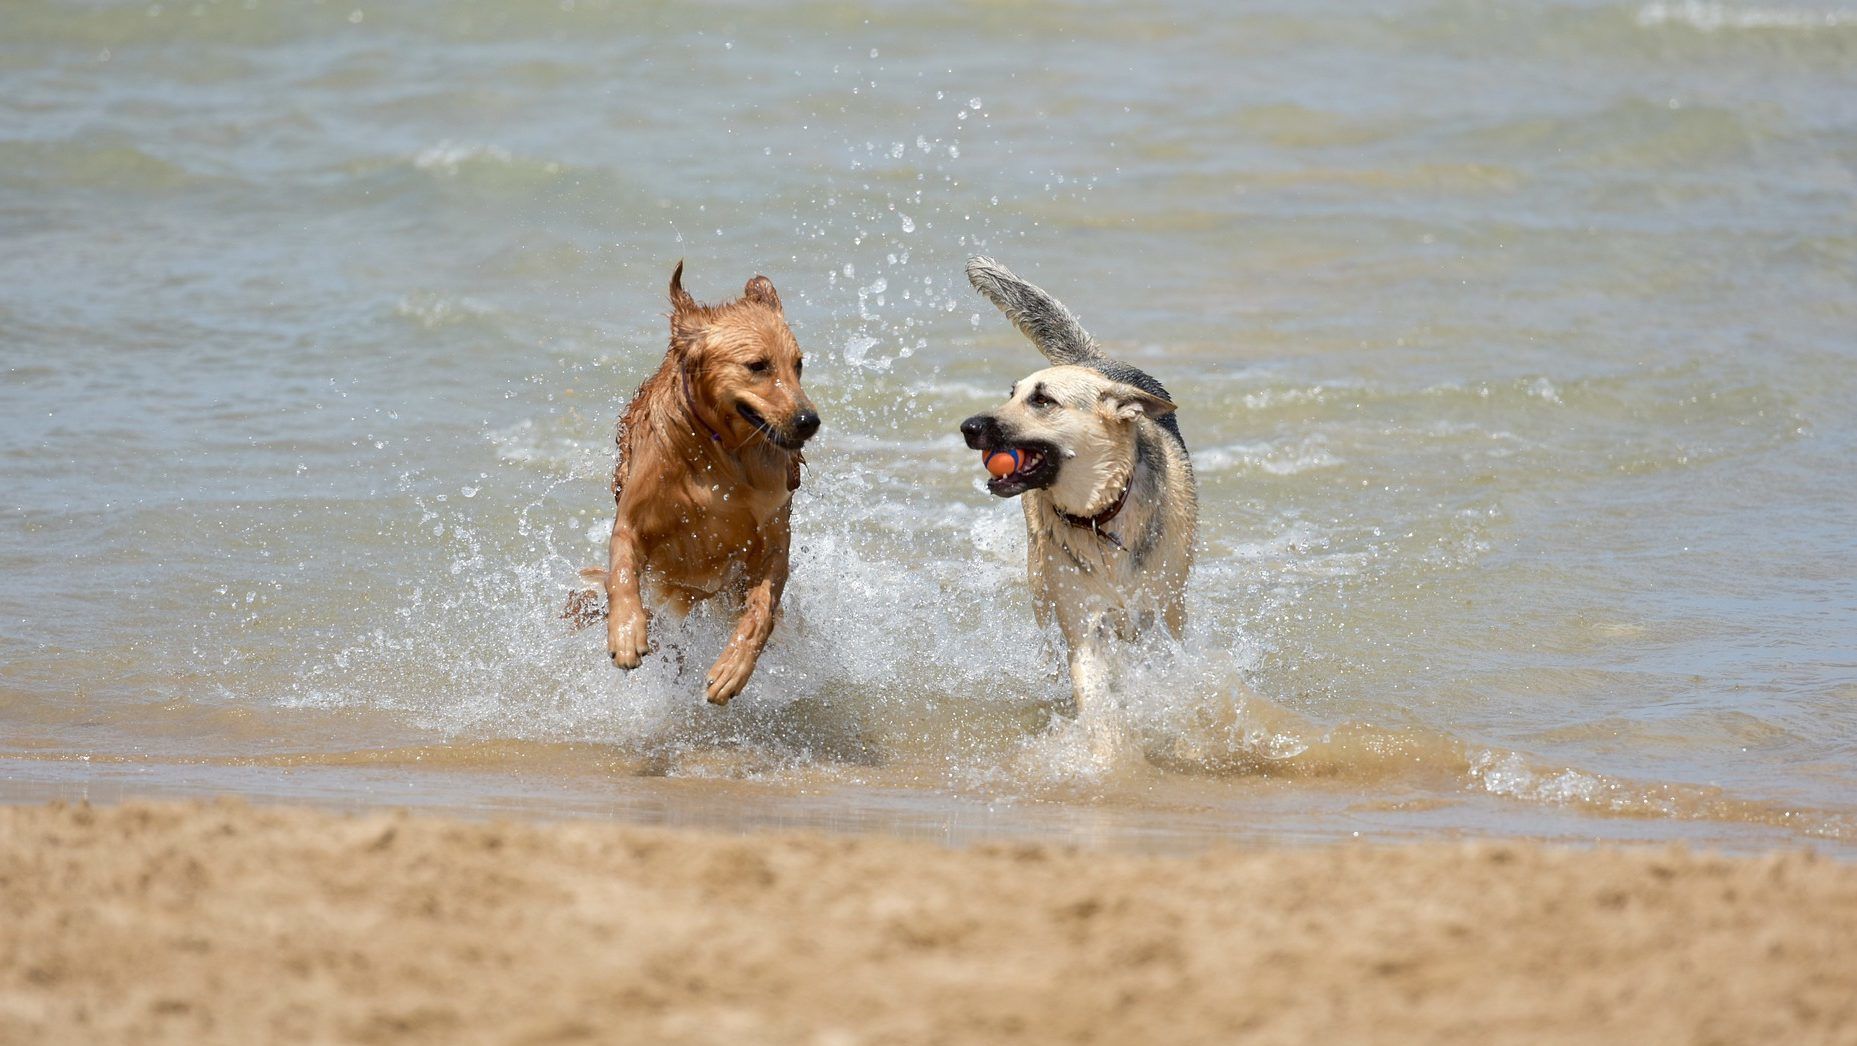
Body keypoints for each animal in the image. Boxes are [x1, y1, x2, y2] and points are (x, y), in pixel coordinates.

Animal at [571, 260, 820, 702]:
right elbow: (621, 571)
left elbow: (761, 608)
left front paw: (734, 666)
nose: (810, 420)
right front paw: (626, 632)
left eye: (798, 365)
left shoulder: (774, 539)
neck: (720, 454)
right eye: (758, 365)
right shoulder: (633, 521)